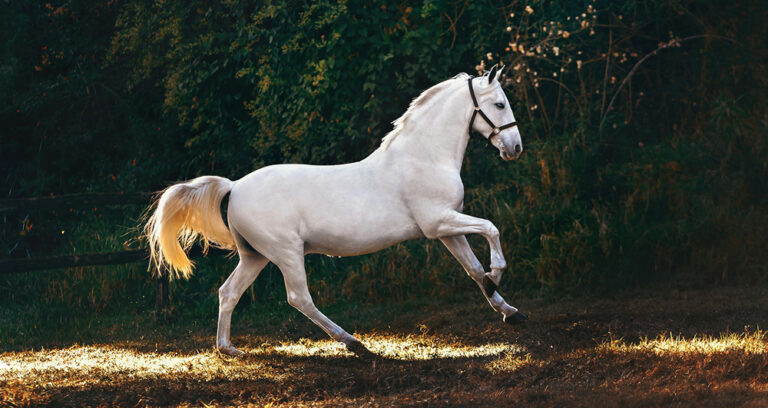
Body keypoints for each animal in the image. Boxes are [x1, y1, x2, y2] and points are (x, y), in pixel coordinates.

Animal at [144, 65, 527, 358]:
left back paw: (228, 349)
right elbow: (491, 229)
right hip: (286, 252)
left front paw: (508, 310)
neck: (424, 157)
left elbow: (473, 270)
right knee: (299, 298)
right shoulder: (439, 223)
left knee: (228, 292)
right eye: (499, 104)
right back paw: (354, 343)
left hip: (255, 256)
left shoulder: (448, 229)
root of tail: (234, 187)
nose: (515, 148)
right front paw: (497, 274)